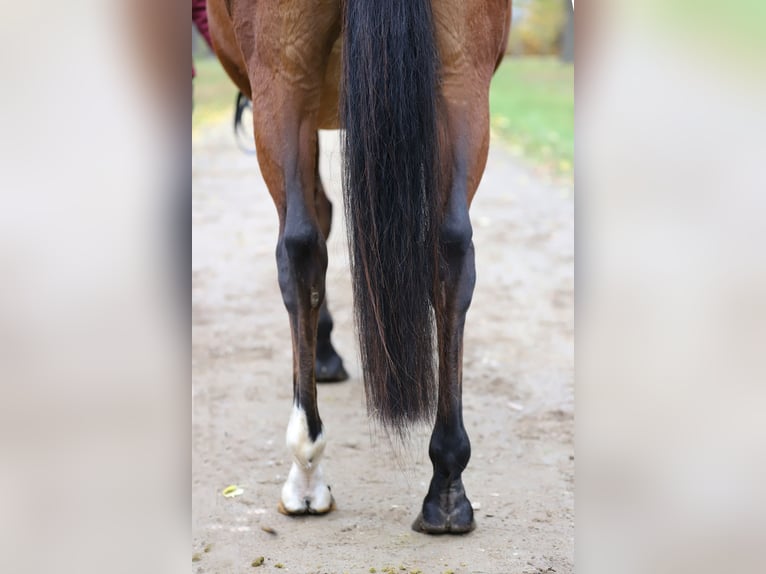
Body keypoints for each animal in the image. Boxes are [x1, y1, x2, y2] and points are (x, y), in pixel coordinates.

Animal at [207, 0, 512, 536]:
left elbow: (318, 220)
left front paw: (325, 353)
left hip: (283, 75)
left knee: (299, 249)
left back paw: (306, 473)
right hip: (463, 77)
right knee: (452, 253)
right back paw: (447, 484)